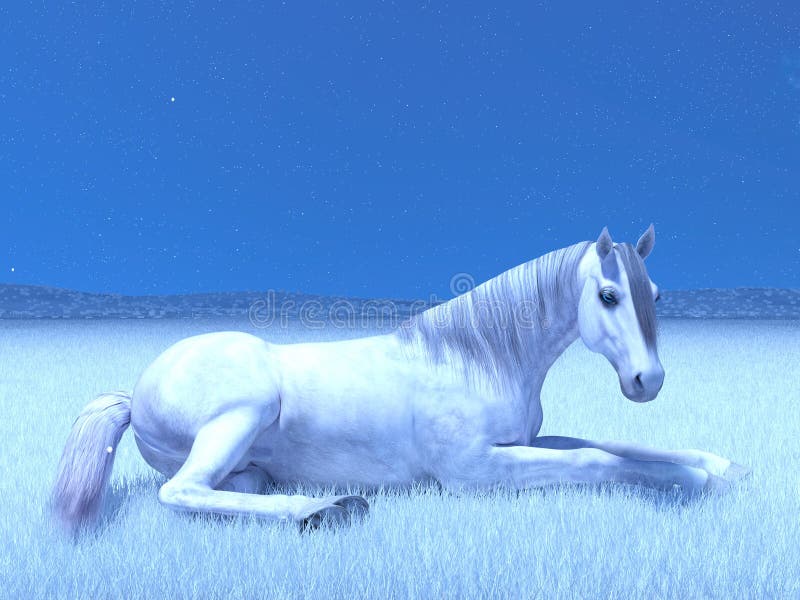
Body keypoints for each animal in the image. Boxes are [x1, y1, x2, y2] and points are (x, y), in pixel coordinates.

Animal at [51, 225, 750, 534]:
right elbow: (598, 462)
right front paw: (693, 483)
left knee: (227, 488)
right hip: (241, 415)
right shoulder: (476, 473)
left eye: (654, 294)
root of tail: (136, 392)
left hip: (245, 462)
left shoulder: (522, 443)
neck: (475, 358)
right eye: (608, 295)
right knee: (181, 493)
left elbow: (607, 445)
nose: (647, 380)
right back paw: (326, 510)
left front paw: (717, 465)